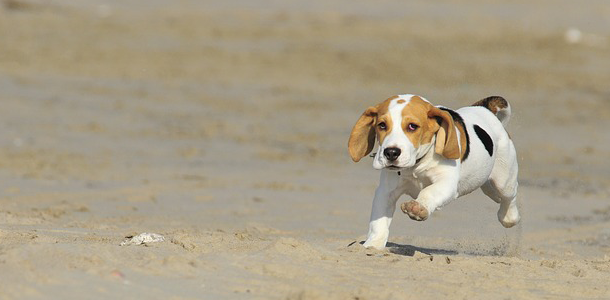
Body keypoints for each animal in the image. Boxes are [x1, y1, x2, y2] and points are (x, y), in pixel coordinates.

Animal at [346, 95, 516, 250]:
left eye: (412, 126)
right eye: (381, 125)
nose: (391, 153)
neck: (416, 165)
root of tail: (483, 108)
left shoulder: (446, 184)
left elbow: (428, 191)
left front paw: (418, 208)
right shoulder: (386, 191)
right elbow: (378, 221)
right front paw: (372, 245)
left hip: (504, 180)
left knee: (509, 197)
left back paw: (508, 217)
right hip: (484, 182)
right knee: (494, 193)